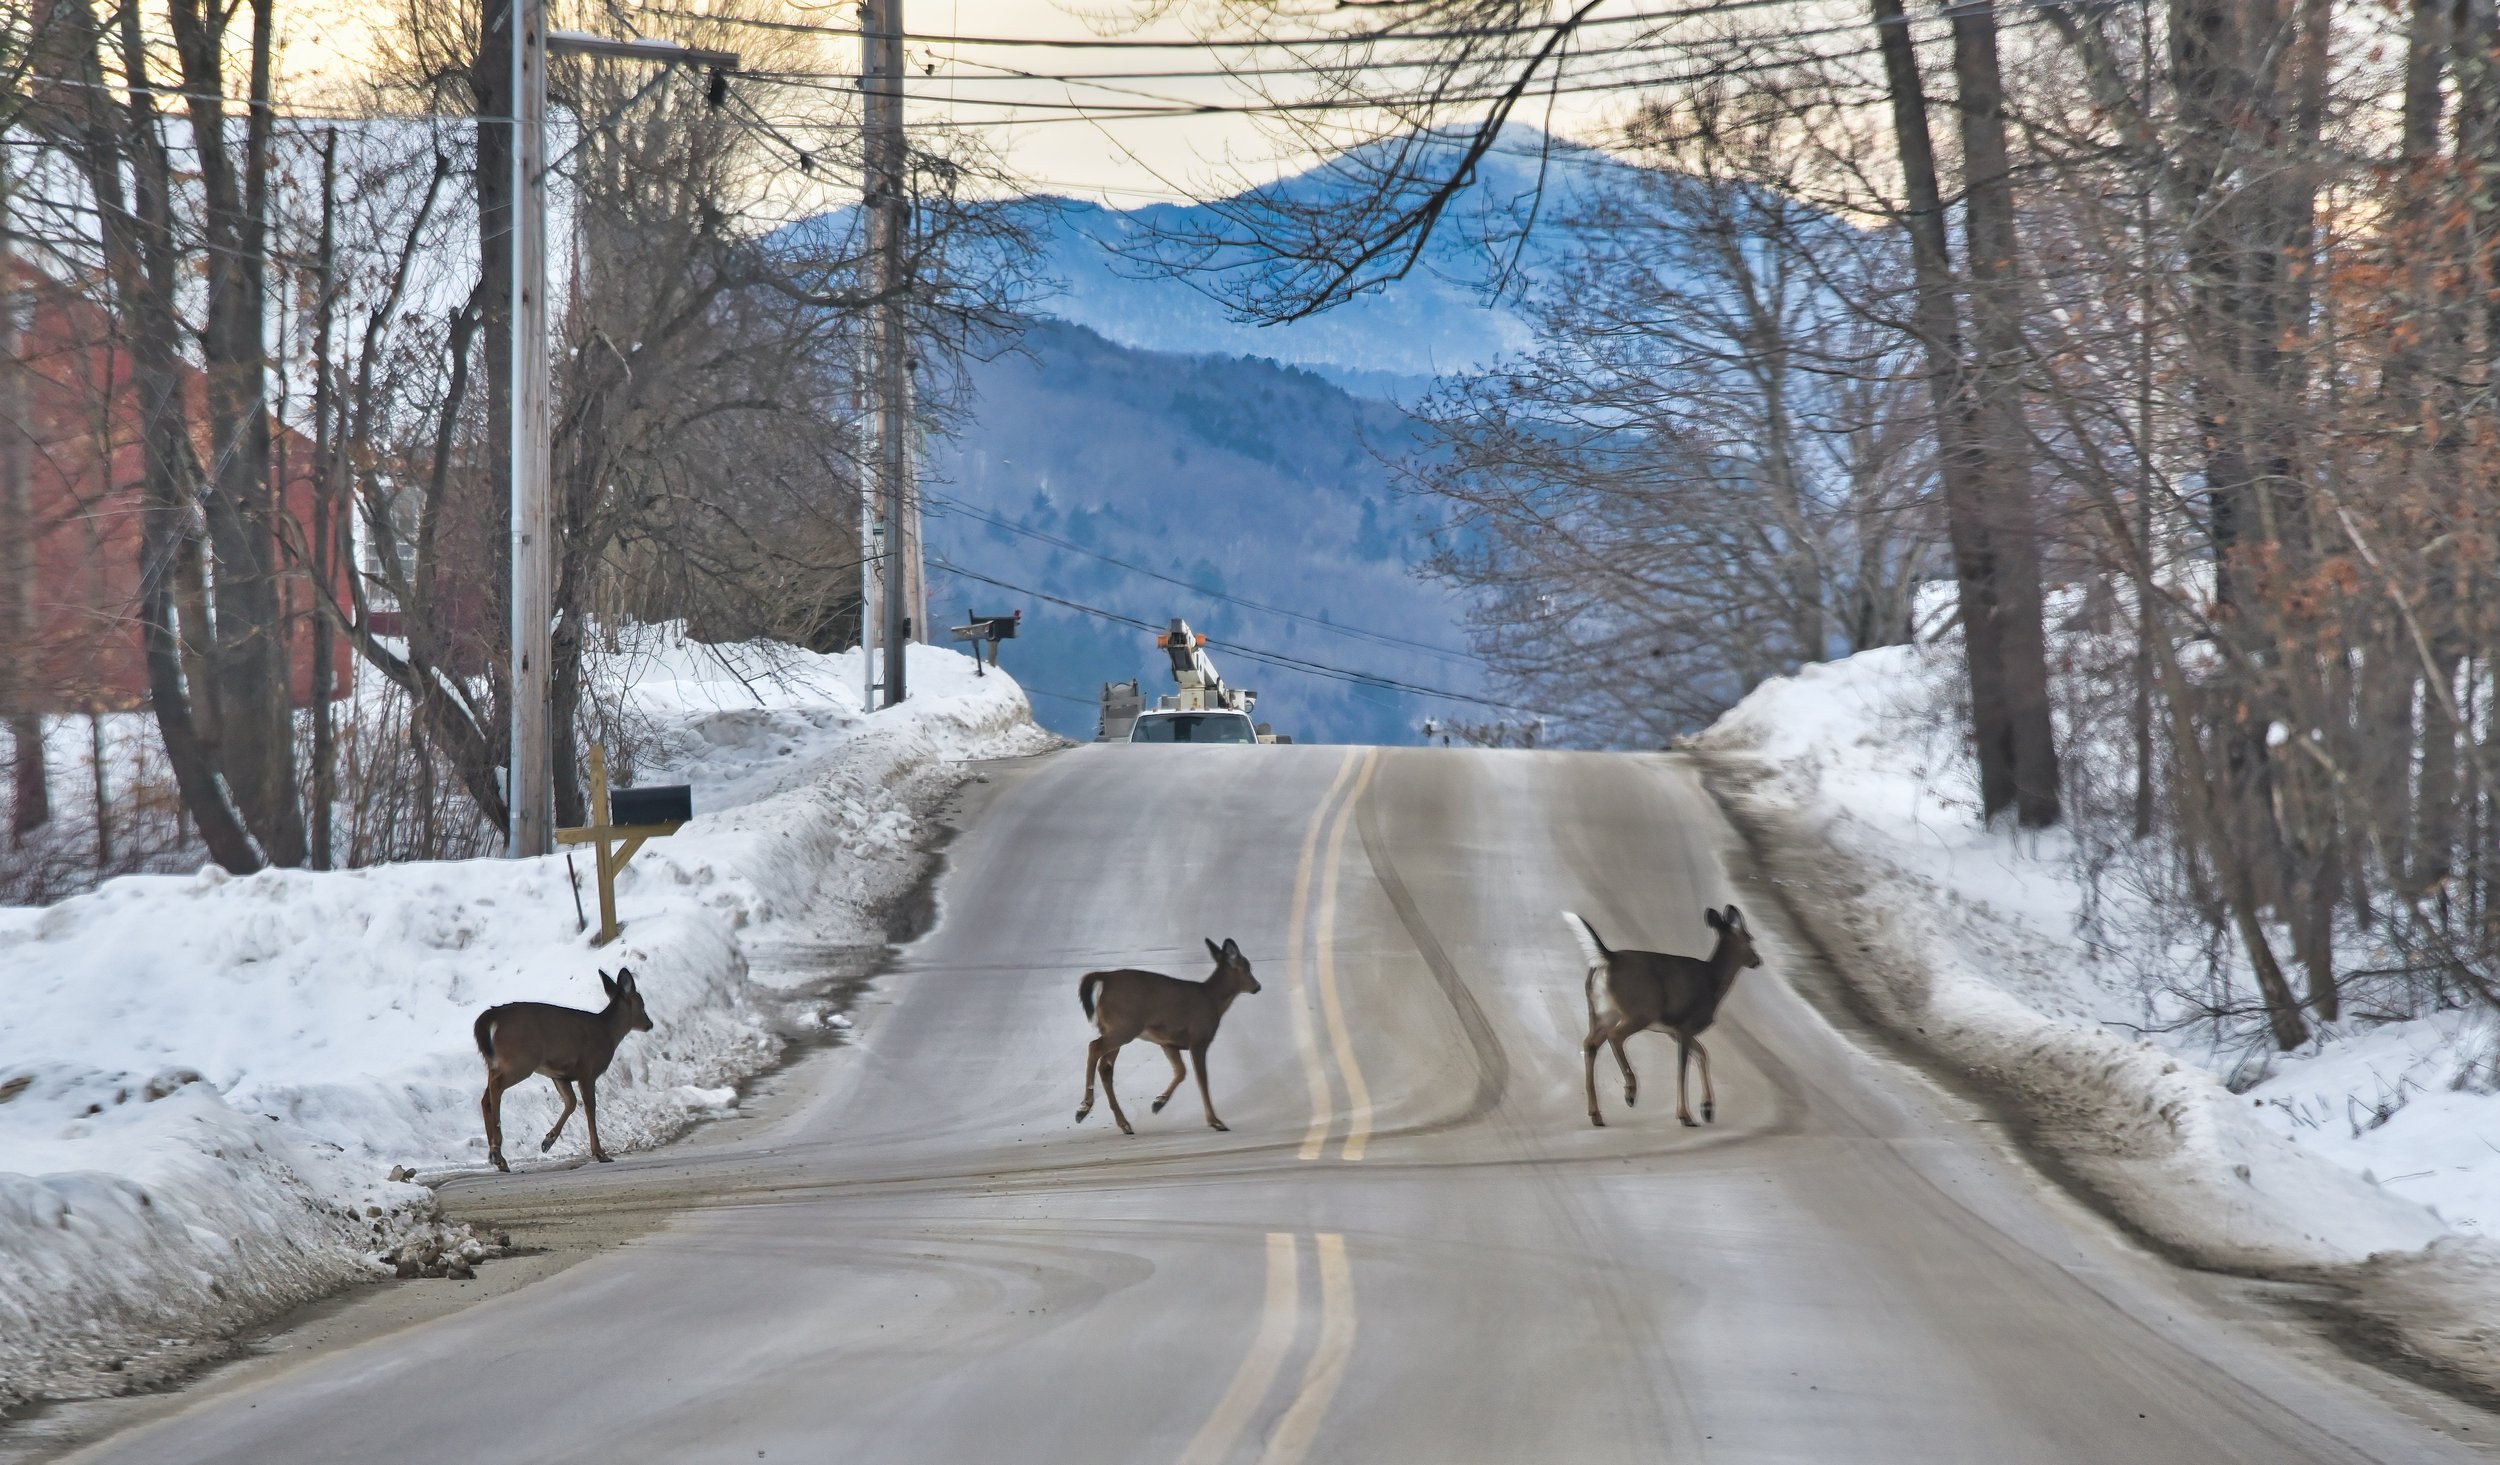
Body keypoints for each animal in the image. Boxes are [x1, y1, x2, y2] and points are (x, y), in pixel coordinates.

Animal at [472, 965, 655, 1170]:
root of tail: (492, 1016)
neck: (608, 1032)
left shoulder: (560, 1075)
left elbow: (571, 1102)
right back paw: (497, 1152)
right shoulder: (587, 1070)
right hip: (521, 1059)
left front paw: (547, 1141)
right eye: (641, 1004)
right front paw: (600, 1153)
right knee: (496, 1088)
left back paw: (498, 1158)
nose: (649, 1024)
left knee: (486, 1097)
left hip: (495, 1062)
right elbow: (590, 1107)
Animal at [1075, 930, 1260, 1135]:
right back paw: (1083, 1108)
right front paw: (1216, 1121)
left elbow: (1181, 1071)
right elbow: (1202, 1079)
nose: (1257, 986)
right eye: (1247, 967)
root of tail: (1105, 977)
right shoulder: (1199, 1039)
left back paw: (1124, 1124)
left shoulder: (1168, 1042)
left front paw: (1158, 1102)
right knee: (1094, 1047)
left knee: (1105, 1067)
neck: (1213, 1000)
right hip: (1124, 1026)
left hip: (1113, 1027)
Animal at [1570, 900, 1770, 1130]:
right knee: (1615, 1036)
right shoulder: (1685, 1025)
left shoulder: (1673, 1031)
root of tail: (1607, 958)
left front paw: (1707, 1109)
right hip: (1639, 1011)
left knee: (1590, 1044)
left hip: (1600, 1013)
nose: (1757, 960)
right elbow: (1682, 1068)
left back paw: (1596, 1115)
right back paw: (1630, 1092)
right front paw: (1686, 1116)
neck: (1714, 980)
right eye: (1749, 938)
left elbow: (1702, 1055)